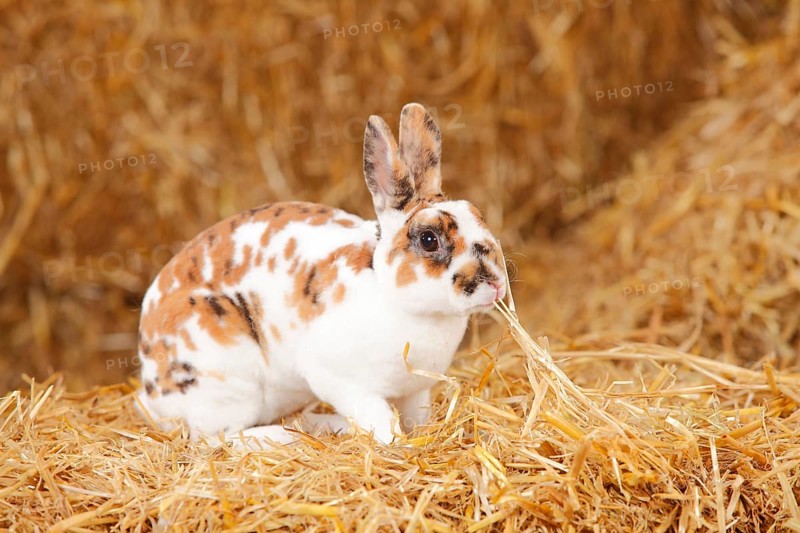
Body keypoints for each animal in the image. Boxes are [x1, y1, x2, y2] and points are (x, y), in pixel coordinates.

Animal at [136, 103, 507, 446]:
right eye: (429, 239)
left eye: (477, 214)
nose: (495, 283)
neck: (394, 298)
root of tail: (151, 386)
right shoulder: (343, 382)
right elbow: (381, 420)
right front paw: (396, 444)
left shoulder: (414, 392)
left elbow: (416, 418)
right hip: (226, 378)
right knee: (214, 439)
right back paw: (285, 437)